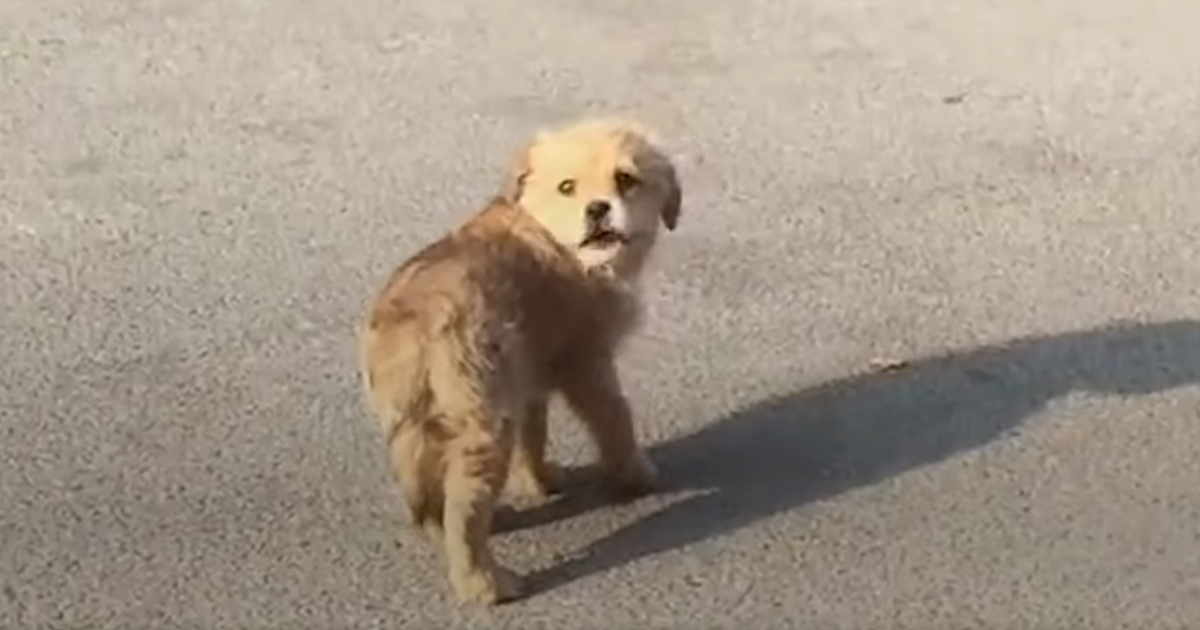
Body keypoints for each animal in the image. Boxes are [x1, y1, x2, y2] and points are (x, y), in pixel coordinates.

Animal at [355, 115, 686, 602]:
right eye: (568, 187)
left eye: (626, 179)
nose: (598, 209)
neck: (551, 235)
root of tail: (413, 321)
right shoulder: (586, 362)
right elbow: (614, 418)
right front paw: (635, 476)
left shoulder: (526, 371)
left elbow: (535, 433)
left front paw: (540, 481)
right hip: (483, 427)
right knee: (464, 512)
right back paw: (485, 585)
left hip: (422, 425)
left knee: (433, 501)